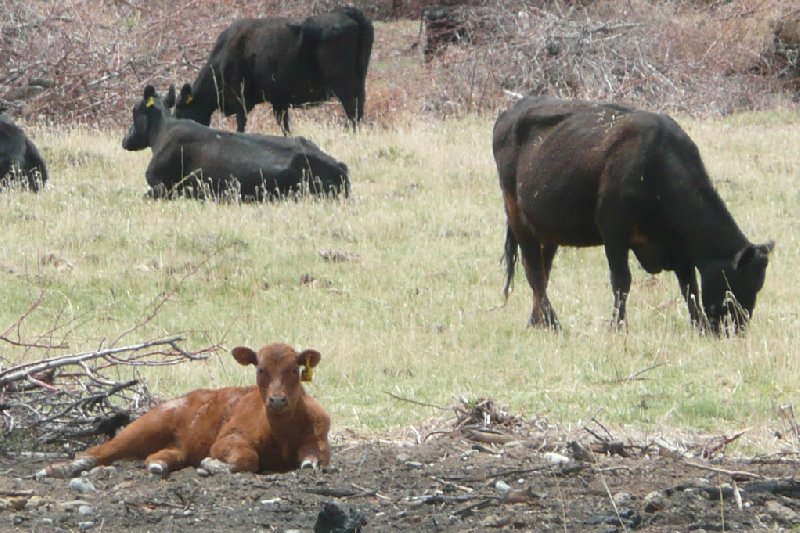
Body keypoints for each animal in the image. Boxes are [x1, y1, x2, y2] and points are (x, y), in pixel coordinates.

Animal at [36, 342, 332, 480]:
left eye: (294, 369)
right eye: (260, 369)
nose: (277, 400)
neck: (280, 433)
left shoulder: (319, 441)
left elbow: (310, 461)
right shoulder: (228, 439)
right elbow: (248, 458)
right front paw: (213, 464)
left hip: (177, 446)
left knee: (159, 456)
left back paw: (159, 465)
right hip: (145, 425)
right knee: (97, 451)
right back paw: (57, 469)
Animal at [494, 95, 776, 334]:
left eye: (758, 286)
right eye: (735, 285)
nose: (736, 330)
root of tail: (511, 112)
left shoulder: (680, 248)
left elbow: (690, 288)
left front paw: (699, 327)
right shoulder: (614, 231)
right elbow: (622, 282)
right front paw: (617, 328)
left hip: (548, 228)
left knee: (543, 270)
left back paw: (536, 322)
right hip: (517, 215)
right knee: (534, 270)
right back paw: (554, 324)